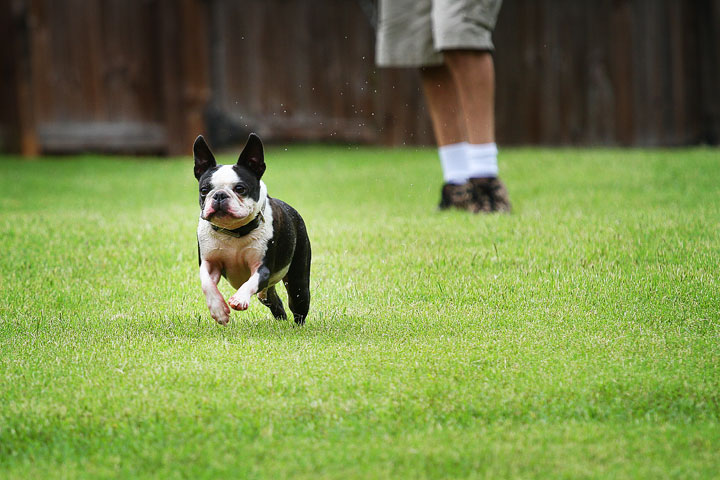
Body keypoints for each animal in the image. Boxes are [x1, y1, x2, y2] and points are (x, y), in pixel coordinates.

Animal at [193, 133, 310, 324]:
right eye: (204, 190)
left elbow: (251, 282)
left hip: (298, 281)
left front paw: (239, 299)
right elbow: (207, 283)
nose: (219, 195)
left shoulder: (262, 268)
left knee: (299, 305)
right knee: (272, 299)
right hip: (268, 294)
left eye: (240, 188)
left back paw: (297, 326)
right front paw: (218, 310)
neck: (233, 232)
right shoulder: (209, 263)